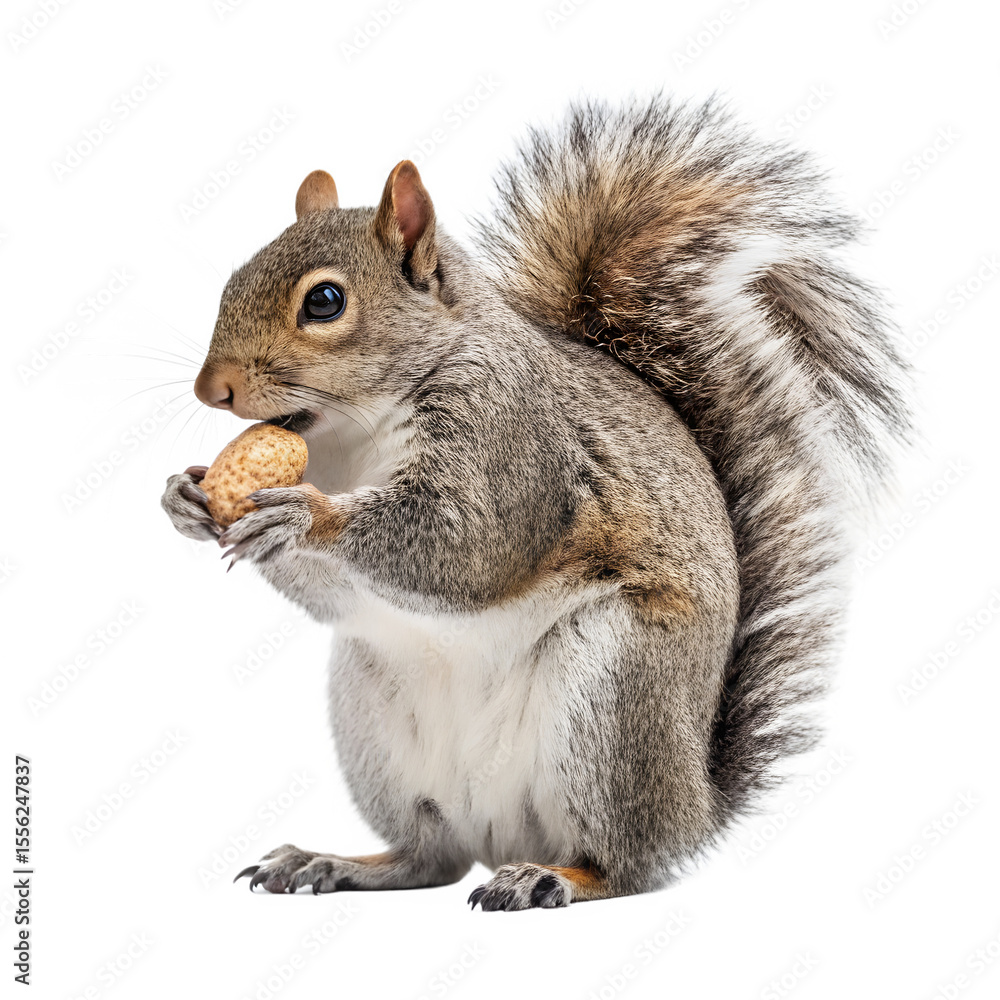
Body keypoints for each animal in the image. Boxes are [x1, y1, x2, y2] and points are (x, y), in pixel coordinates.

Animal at [161, 96, 911, 910]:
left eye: (325, 301)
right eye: (234, 275)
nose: (210, 389)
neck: (350, 437)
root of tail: (698, 804)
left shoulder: (514, 443)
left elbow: (467, 544)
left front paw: (304, 516)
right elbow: (333, 592)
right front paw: (186, 499)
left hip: (615, 692)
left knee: (624, 863)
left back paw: (556, 877)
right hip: (374, 718)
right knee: (429, 858)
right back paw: (335, 862)